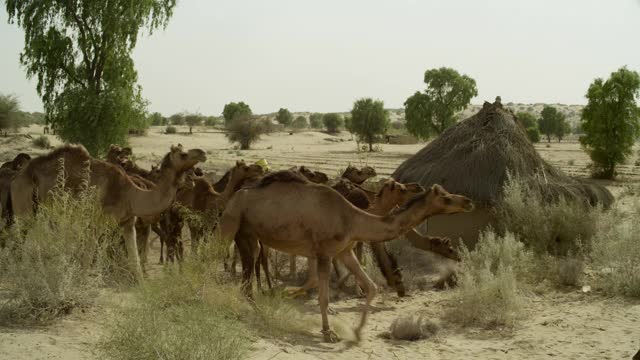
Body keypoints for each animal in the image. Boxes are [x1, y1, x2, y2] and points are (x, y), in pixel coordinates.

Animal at [10, 143, 205, 282]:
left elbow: (134, 257)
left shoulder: (128, 223)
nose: (202, 153)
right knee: (22, 237)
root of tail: (20, 174)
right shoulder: (98, 222)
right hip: (25, 204)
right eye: (183, 154)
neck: (131, 194)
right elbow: (90, 256)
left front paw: (142, 285)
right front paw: (83, 282)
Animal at [221, 170, 476, 342]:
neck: (354, 219)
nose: (468, 201)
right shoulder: (324, 253)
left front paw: (358, 331)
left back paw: (259, 307)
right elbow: (323, 297)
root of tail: (235, 195)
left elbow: (372, 286)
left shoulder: (345, 251)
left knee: (247, 275)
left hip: (249, 233)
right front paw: (328, 332)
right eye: (445, 197)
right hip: (234, 224)